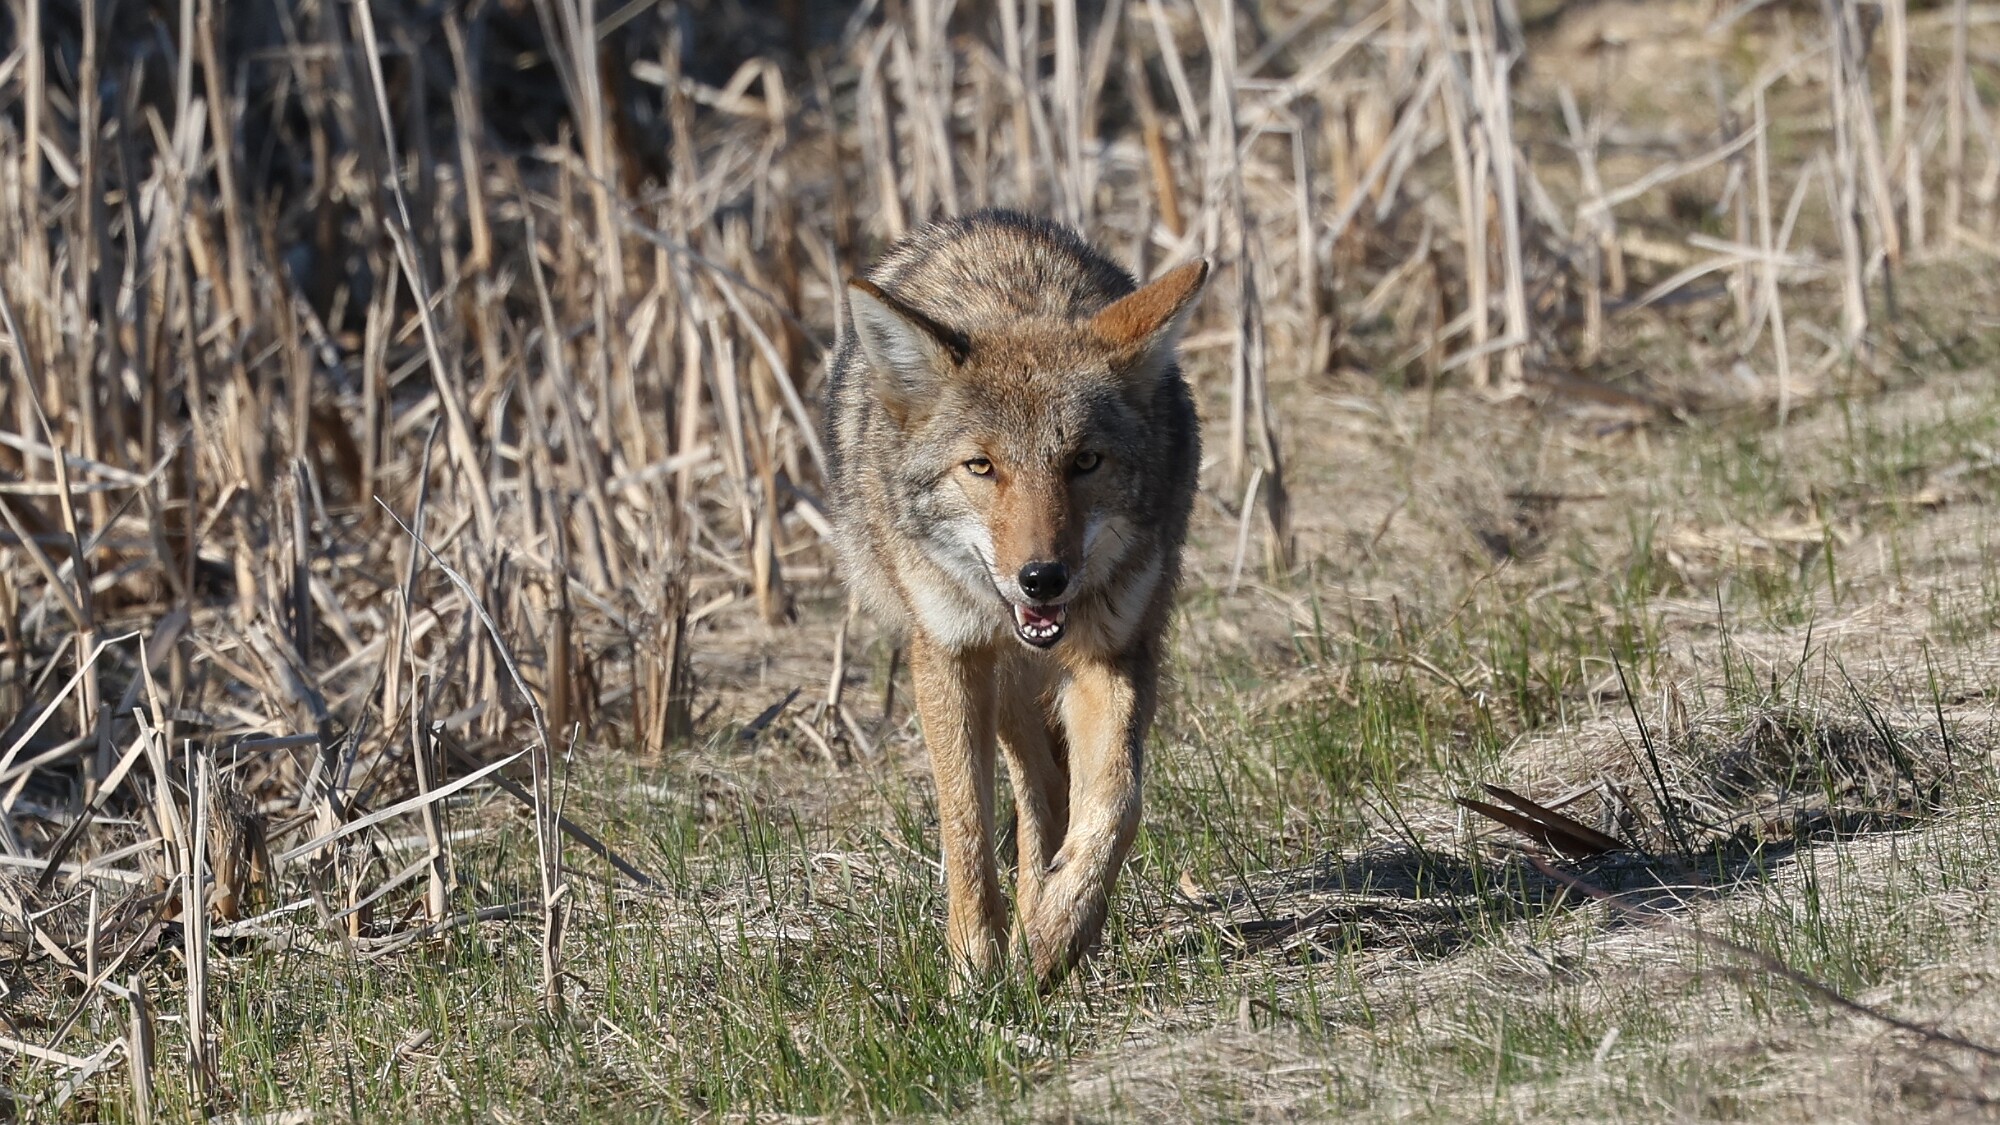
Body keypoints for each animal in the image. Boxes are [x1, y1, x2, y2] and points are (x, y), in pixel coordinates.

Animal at [823, 210, 1206, 986]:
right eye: (982, 467)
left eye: (1084, 460)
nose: (1043, 578)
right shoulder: (950, 655)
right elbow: (965, 819)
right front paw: (974, 965)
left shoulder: (1112, 654)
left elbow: (1117, 800)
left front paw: (1059, 930)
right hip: (998, 676)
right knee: (1037, 784)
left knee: (1052, 791)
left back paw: (1039, 914)